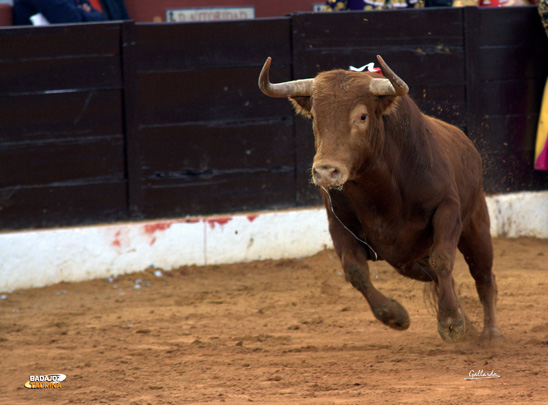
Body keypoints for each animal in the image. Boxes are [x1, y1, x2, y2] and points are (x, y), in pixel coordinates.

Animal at [260, 55, 504, 342]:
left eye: (362, 116)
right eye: (314, 118)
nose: (326, 172)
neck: (379, 192)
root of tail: (468, 145)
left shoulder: (448, 208)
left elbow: (443, 260)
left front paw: (451, 322)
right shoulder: (338, 224)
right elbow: (355, 271)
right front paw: (395, 315)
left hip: (476, 225)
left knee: (483, 276)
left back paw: (490, 332)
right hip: (409, 262)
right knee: (438, 278)